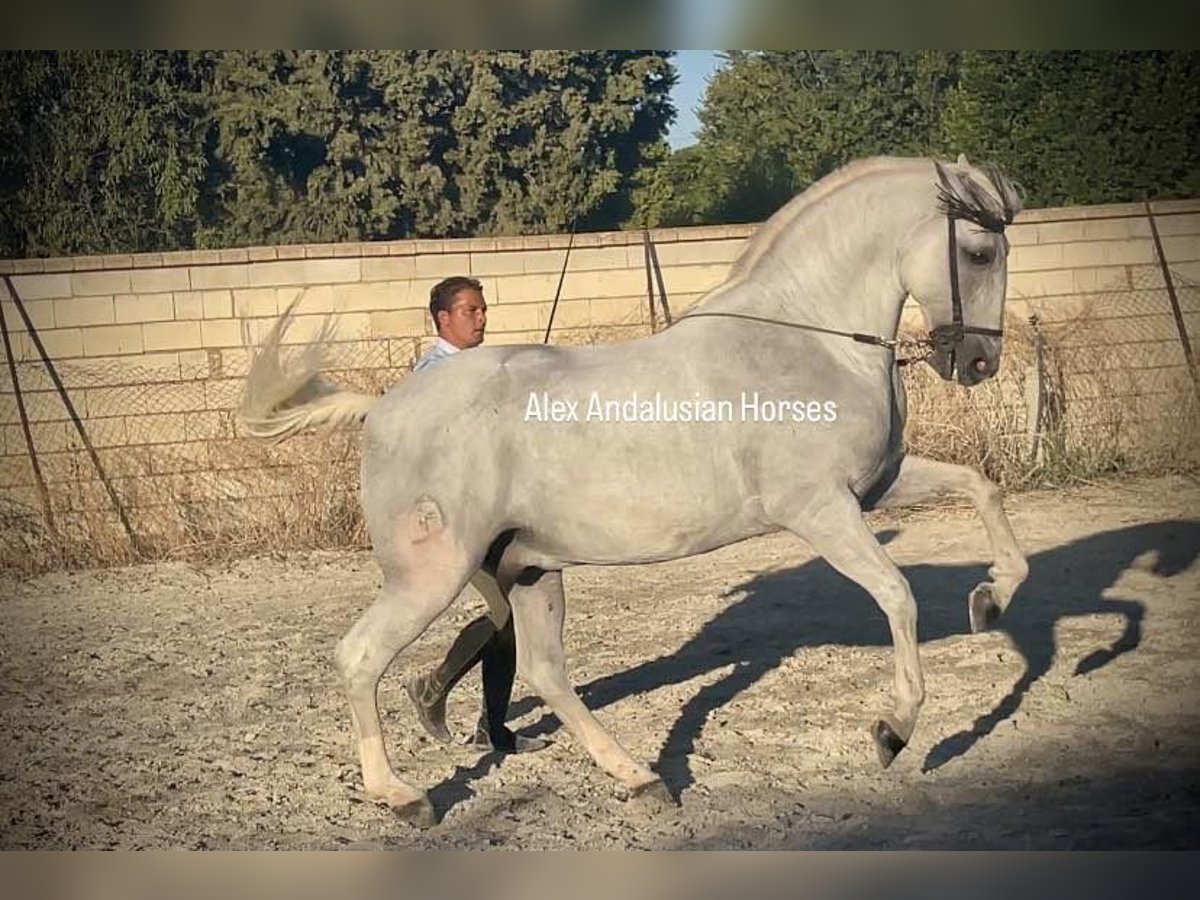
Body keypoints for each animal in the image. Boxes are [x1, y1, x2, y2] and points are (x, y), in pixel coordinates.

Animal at [238, 153, 1027, 825]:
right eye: (980, 253)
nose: (978, 363)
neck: (809, 339)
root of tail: (381, 409)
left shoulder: (875, 487)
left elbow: (982, 489)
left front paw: (990, 600)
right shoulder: (819, 509)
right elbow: (897, 593)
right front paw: (895, 731)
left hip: (530, 569)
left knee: (546, 672)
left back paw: (640, 778)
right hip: (432, 575)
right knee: (361, 657)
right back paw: (404, 798)